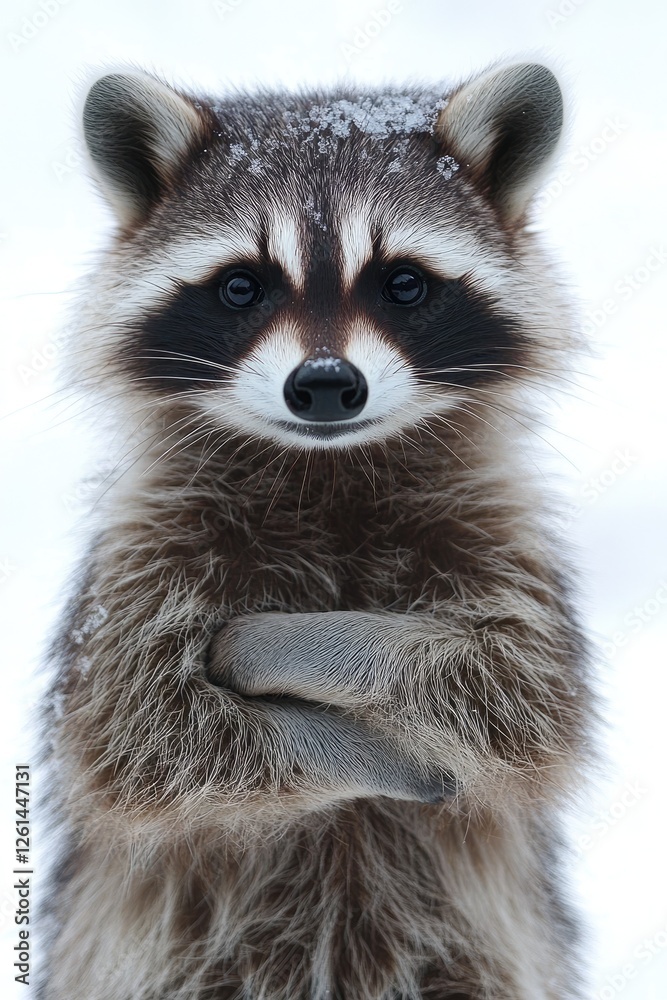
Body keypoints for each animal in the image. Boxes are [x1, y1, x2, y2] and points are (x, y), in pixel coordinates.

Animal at [40, 62, 595, 1000]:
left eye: (402, 282)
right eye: (241, 285)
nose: (327, 383)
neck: (327, 468)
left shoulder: (504, 535)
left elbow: (520, 694)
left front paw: (318, 647)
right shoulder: (134, 565)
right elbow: (141, 738)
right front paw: (347, 747)